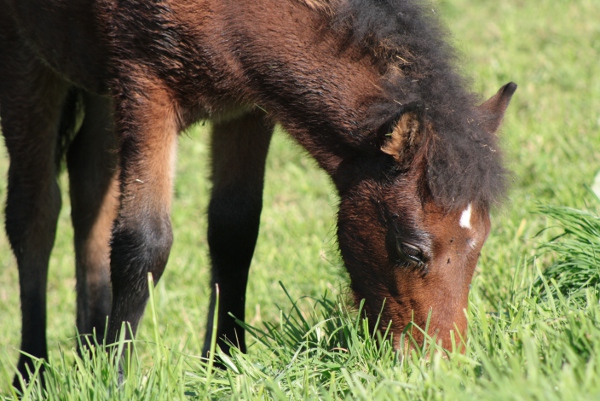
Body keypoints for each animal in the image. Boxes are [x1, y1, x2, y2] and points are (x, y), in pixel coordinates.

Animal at [0, 0, 516, 386]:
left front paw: (224, 364)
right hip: (28, 55)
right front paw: (117, 380)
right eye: (410, 249)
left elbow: (234, 233)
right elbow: (143, 242)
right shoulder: (145, 86)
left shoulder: (246, 106)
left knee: (89, 190)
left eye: (480, 244)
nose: (440, 367)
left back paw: (89, 348)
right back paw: (33, 373)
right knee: (36, 214)